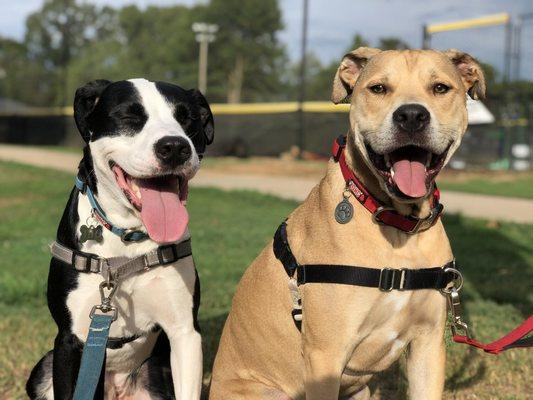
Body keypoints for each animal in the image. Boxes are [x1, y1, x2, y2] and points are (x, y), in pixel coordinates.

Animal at [26, 76, 214, 398]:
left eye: (187, 118)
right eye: (129, 117)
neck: (129, 238)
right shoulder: (69, 341)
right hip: (43, 369)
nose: (174, 147)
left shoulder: (185, 334)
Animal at [210, 49, 484, 400]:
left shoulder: (428, 344)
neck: (397, 227)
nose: (411, 116)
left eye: (440, 88)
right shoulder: (325, 355)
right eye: (378, 88)